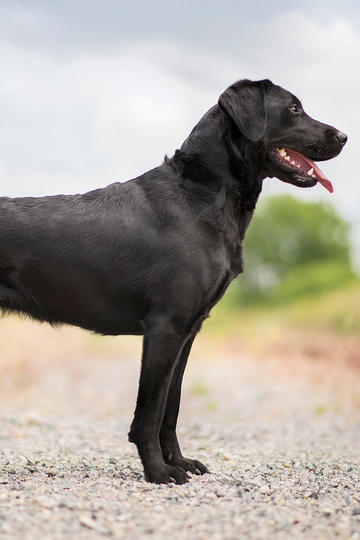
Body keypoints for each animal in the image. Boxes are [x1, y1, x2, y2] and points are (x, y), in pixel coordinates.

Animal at [0, 80, 348, 486]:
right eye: (294, 109)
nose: (344, 136)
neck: (203, 194)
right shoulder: (165, 328)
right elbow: (150, 412)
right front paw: (158, 471)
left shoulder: (188, 331)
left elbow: (172, 406)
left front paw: (180, 462)